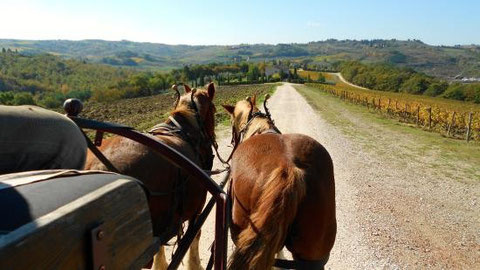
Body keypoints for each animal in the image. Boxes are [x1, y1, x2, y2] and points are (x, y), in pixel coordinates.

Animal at [84, 83, 216, 268]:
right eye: (214, 110)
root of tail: (96, 166)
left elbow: (160, 247)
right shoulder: (197, 209)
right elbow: (195, 236)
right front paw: (195, 265)